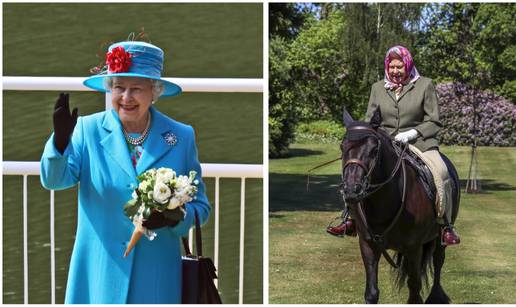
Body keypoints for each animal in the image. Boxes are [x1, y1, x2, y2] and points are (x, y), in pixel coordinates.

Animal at [342, 107, 460, 304]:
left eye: (374, 149)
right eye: (342, 147)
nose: (351, 190)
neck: (383, 202)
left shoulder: (413, 248)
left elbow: (414, 290)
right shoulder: (367, 244)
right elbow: (372, 292)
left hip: (439, 238)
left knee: (438, 261)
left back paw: (436, 295)